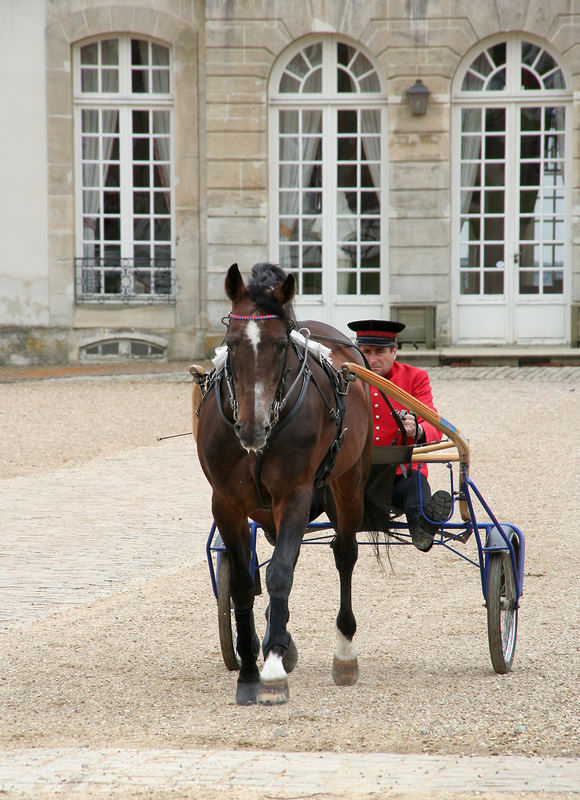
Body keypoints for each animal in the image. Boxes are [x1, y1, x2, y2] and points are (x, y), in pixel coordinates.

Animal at [197, 264, 374, 708]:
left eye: (279, 346)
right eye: (231, 343)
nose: (252, 428)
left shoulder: (295, 493)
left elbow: (279, 574)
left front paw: (273, 669)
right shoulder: (226, 502)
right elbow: (245, 584)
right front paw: (248, 670)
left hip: (348, 483)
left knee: (344, 553)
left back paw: (344, 652)